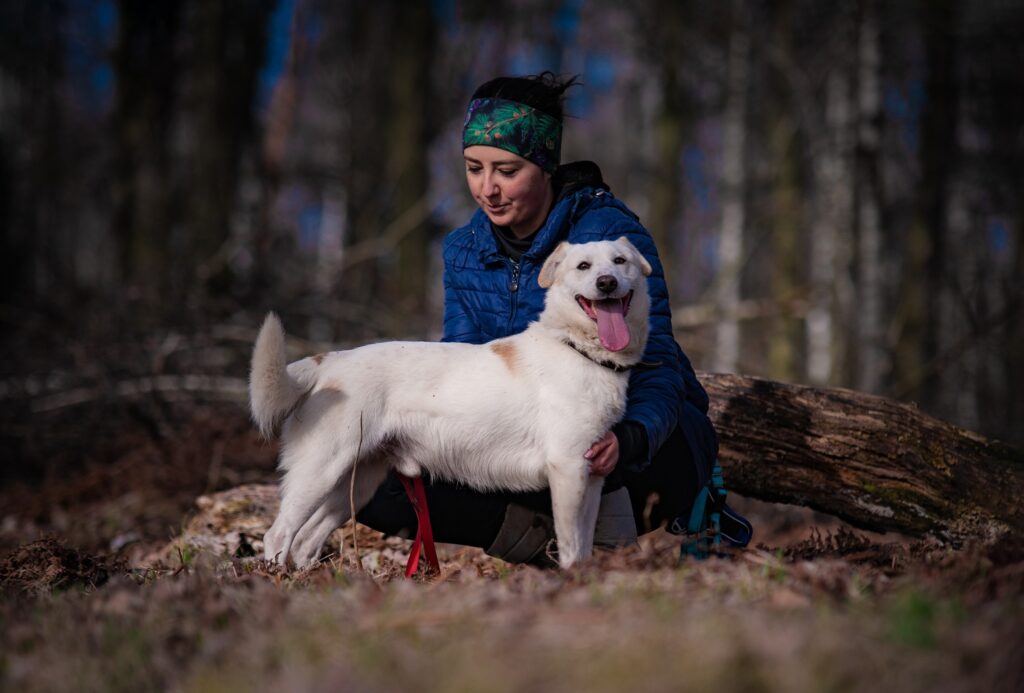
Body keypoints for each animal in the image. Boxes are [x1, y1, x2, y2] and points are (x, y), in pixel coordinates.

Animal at [249, 235, 647, 565]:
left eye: (620, 261)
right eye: (583, 266)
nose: (607, 283)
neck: (577, 348)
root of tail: (329, 360)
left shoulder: (592, 478)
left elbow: (583, 547)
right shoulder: (566, 469)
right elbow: (569, 545)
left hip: (357, 483)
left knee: (306, 542)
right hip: (319, 472)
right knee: (279, 535)